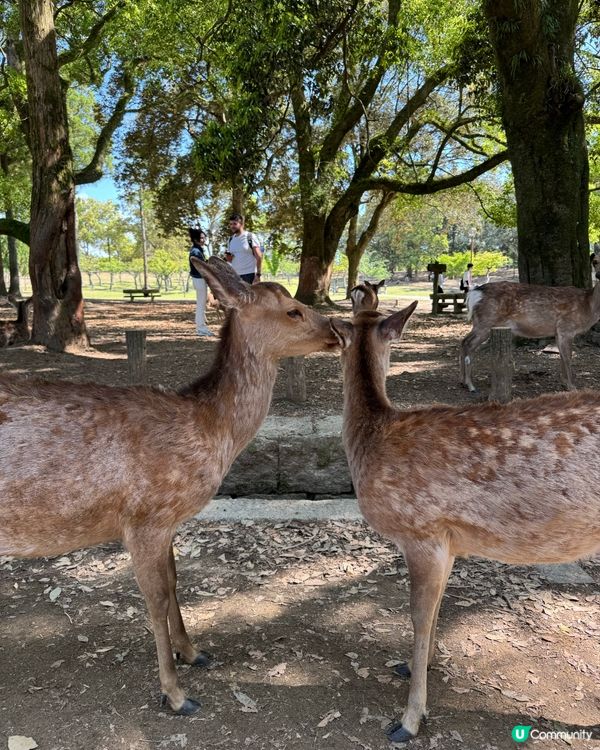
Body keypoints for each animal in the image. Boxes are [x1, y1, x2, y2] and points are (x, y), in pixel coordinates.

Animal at [0, 257, 341, 716]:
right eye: (293, 311)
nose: (337, 330)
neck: (206, 432)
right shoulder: (144, 518)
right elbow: (157, 596)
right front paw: (176, 693)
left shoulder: (168, 522)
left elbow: (176, 579)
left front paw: (193, 652)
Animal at [331, 294, 600, 744]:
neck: (372, 438)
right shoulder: (449, 542)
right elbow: (438, 605)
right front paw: (417, 666)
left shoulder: (420, 531)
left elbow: (418, 616)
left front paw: (409, 719)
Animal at [460, 280, 600, 392]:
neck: (588, 307)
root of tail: (474, 293)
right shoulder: (566, 327)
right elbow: (568, 358)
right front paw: (572, 386)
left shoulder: (558, 331)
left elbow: (562, 356)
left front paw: (564, 383)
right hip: (486, 321)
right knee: (468, 343)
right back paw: (470, 385)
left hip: (481, 323)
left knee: (464, 341)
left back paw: (463, 382)